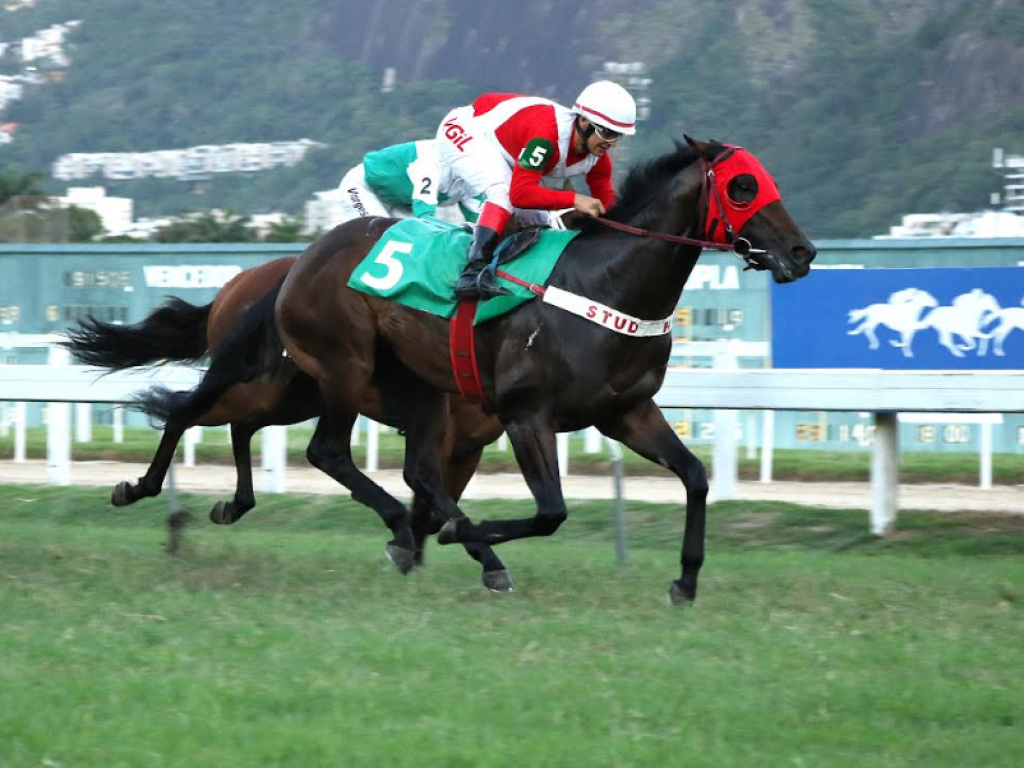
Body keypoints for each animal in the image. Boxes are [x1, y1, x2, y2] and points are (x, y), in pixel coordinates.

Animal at [64, 257, 512, 589]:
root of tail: (234, 285)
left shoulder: (469, 446)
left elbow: (439, 506)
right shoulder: (441, 430)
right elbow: (428, 499)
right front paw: (414, 552)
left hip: (292, 395)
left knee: (238, 426)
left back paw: (232, 504)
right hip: (271, 383)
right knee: (186, 414)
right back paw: (139, 487)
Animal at [146, 138, 815, 606]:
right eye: (743, 186)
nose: (802, 252)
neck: (603, 286)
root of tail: (300, 260)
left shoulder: (625, 412)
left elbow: (696, 477)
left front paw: (686, 581)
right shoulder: (524, 415)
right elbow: (550, 513)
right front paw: (459, 539)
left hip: (349, 388)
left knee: (253, 428)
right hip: (338, 368)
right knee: (301, 444)